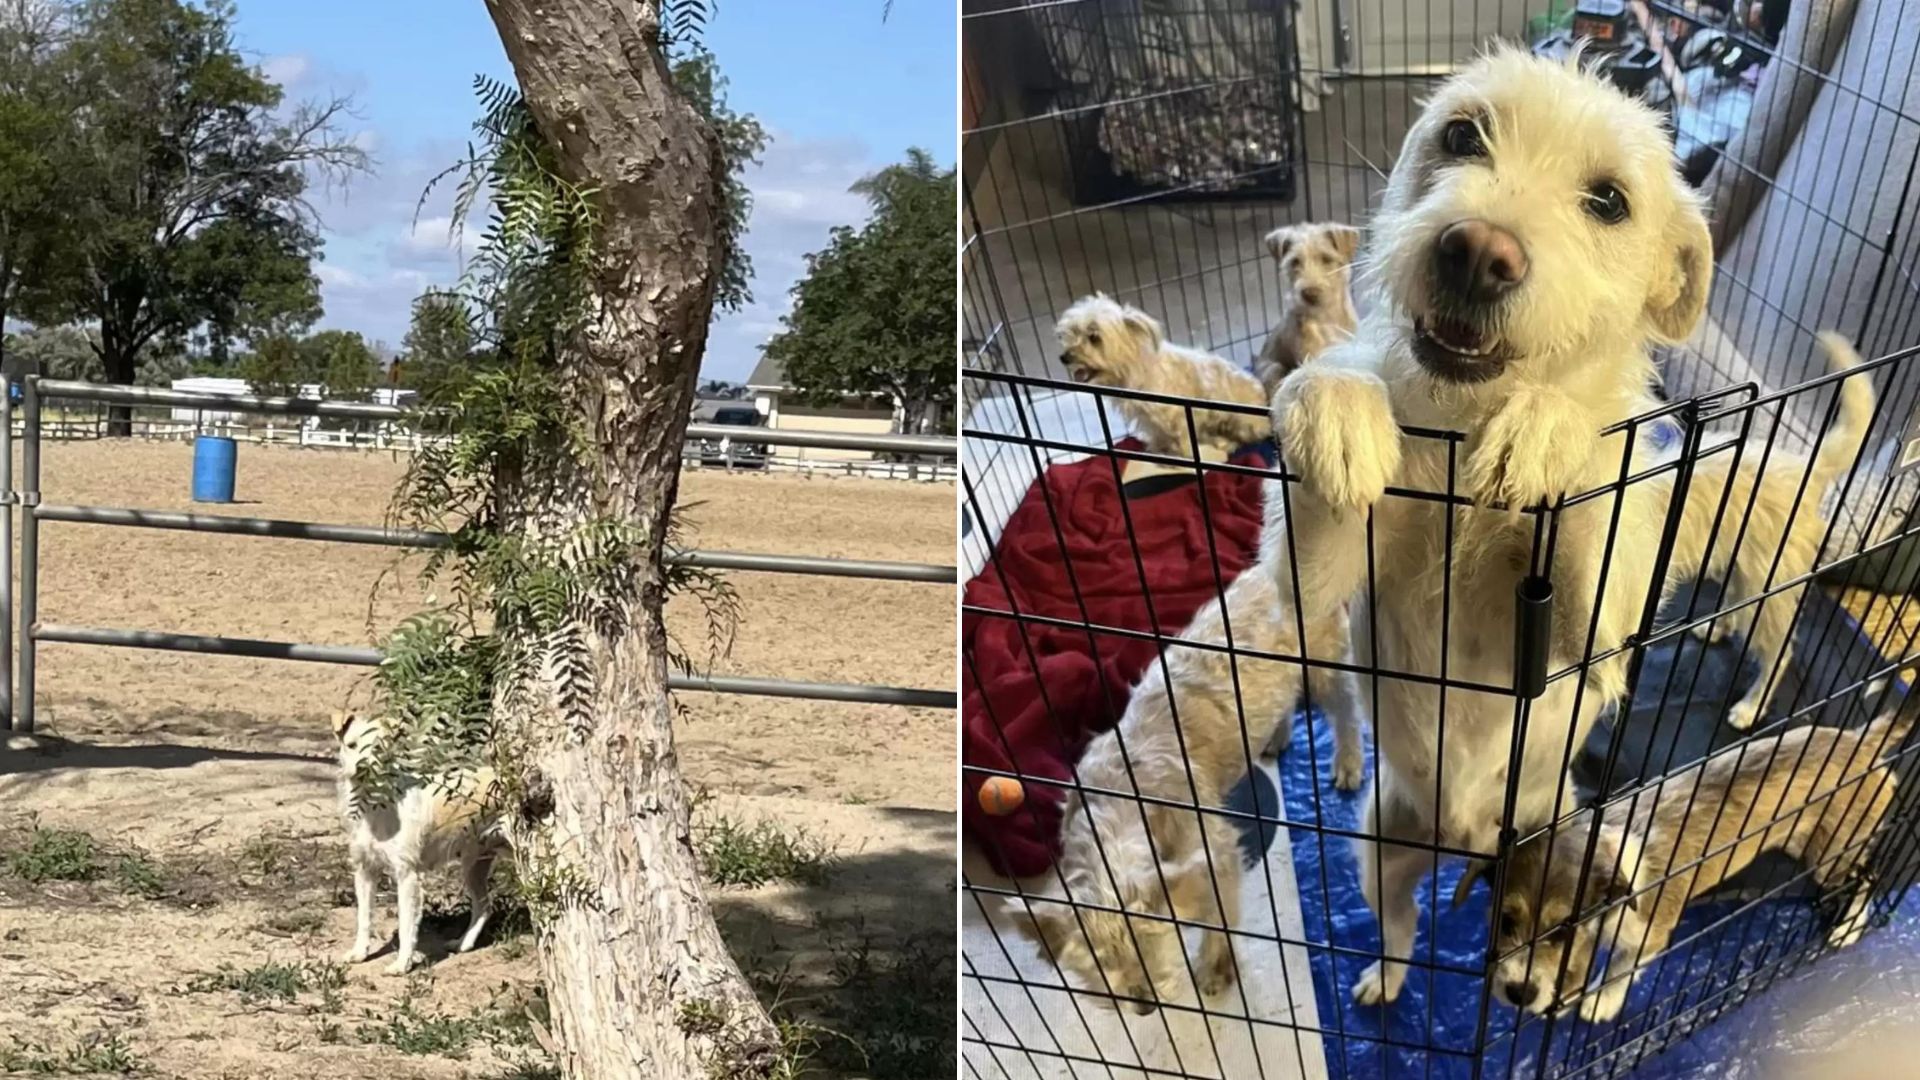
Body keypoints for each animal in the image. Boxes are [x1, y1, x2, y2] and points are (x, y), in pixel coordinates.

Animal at [336, 711, 510, 972]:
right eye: (352, 745)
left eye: (378, 749)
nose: (362, 768)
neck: (374, 805)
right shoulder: (365, 870)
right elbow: (364, 918)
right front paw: (360, 953)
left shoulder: (407, 876)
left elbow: (406, 924)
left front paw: (402, 964)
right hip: (473, 865)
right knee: (484, 905)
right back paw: (463, 944)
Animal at [1059, 294, 1267, 457]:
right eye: (1071, 332)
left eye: (1094, 337)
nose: (1064, 358)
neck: (1135, 371)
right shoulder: (1150, 421)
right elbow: (1160, 437)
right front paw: (1159, 449)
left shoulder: (1180, 415)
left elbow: (1185, 442)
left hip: (1241, 421)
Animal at [1259, 220, 1367, 399]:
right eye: (1295, 262)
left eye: (1327, 259)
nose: (1310, 294)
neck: (1327, 318)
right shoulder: (1311, 357)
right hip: (1273, 368)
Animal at [1459, 699, 1912, 1014]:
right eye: (1504, 921)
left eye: (1560, 933)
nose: (1519, 994)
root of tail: (1863, 739)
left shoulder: (1650, 935)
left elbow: (1620, 968)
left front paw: (1600, 1002)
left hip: (1832, 853)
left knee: (1870, 876)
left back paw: (1849, 927)